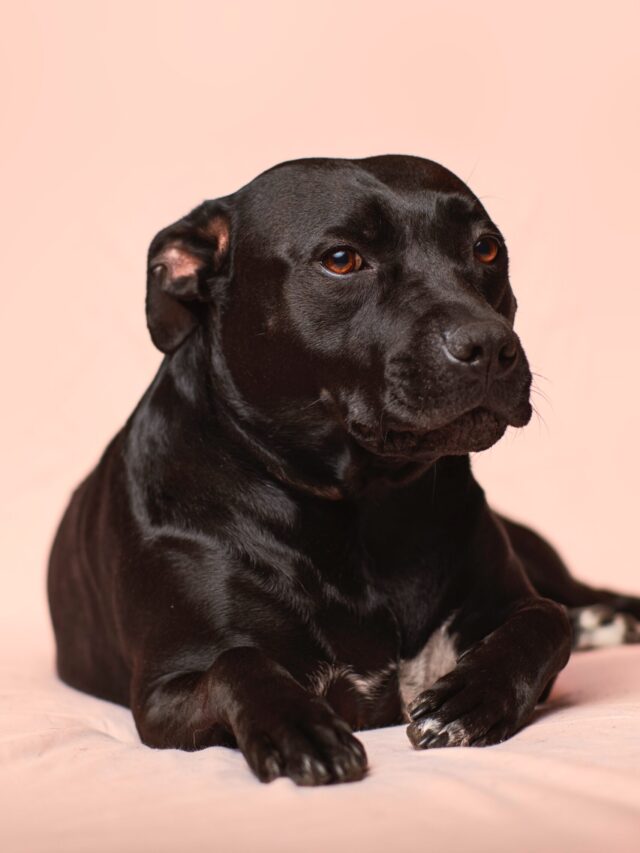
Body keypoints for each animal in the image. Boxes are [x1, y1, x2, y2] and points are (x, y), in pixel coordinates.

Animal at [47, 155, 640, 784]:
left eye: (485, 249)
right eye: (341, 260)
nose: (490, 346)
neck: (366, 507)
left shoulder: (508, 600)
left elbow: (544, 623)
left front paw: (470, 697)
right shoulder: (164, 692)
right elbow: (240, 663)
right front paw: (298, 726)